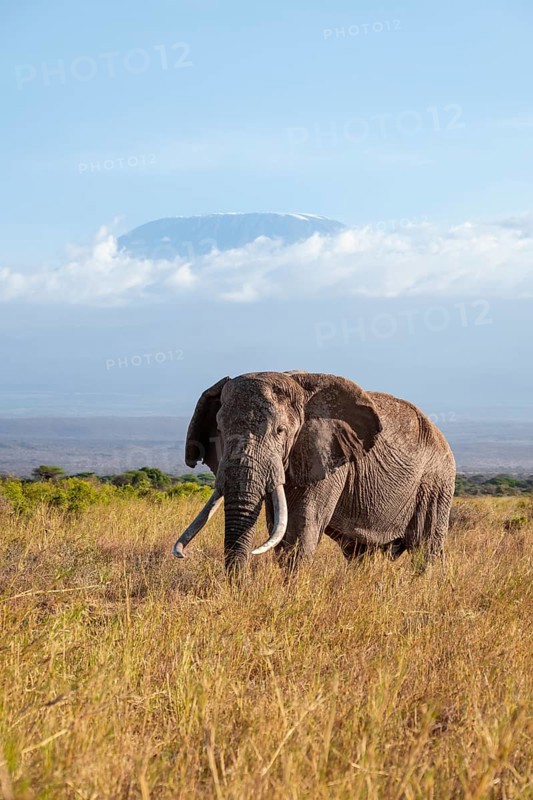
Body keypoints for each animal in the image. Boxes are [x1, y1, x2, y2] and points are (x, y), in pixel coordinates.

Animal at [173, 372, 456, 574]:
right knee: (361, 552)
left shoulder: (327, 454)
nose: (239, 590)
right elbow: (281, 529)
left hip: (436, 483)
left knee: (426, 548)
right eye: (219, 429)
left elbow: (300, 530)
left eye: (280, 431)